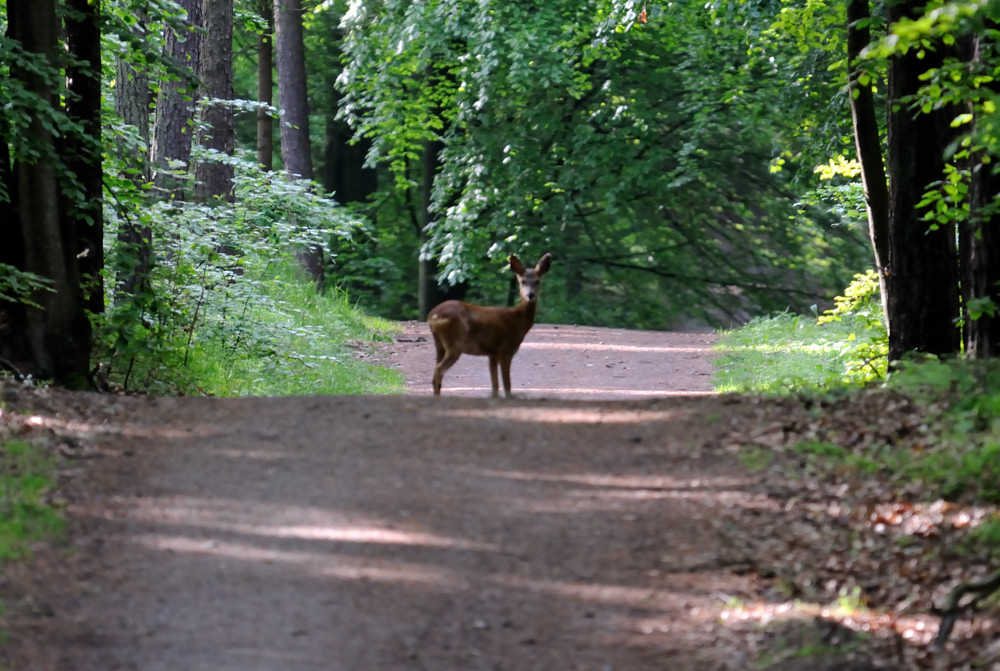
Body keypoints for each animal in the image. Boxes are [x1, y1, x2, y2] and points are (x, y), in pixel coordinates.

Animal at [428, 253, 552, 397]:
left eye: (538, 281)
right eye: (523, 281)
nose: (530, 295)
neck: (517, 320)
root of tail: (433, 316)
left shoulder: (492, 353)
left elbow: (495, 385)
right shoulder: (505, 349)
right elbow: (507, 385)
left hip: (440, 344)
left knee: (435, 372)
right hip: (455, 343)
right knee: (438, 370)